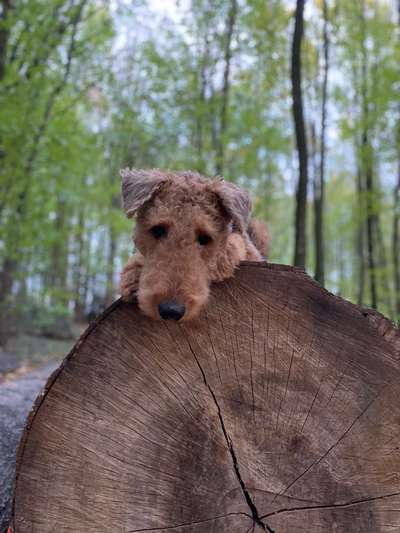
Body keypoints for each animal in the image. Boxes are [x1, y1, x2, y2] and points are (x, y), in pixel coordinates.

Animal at [119, 169, 268, 320]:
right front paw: (131, 277)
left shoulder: (246, 250)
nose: (171, 310)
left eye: (204, 238)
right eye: (158, 230)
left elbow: (231, 246)